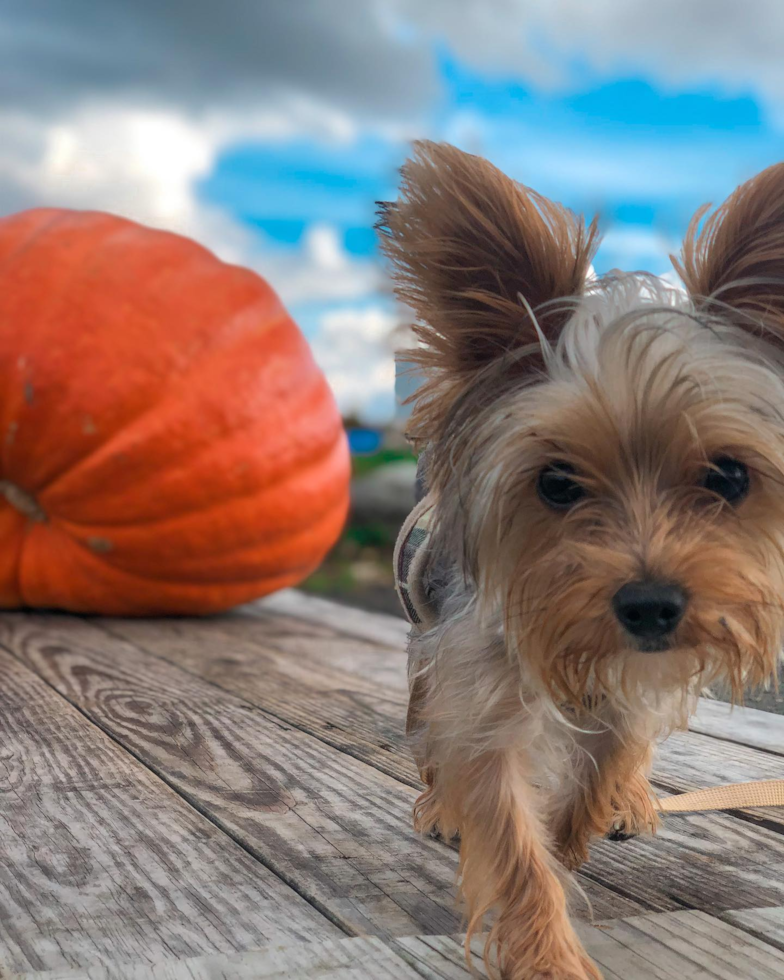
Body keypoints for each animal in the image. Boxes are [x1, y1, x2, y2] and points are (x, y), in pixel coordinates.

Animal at [376, 140, 780, 980]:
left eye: (728, 477)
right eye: (556, 483)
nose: (651, 606)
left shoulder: (634, 688)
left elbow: (600, 770)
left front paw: (584, 824)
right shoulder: (480, 685)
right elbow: (510, 835)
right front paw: (549, 955)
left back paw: (633, 799)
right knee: (427, 717)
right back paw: (439, 802)